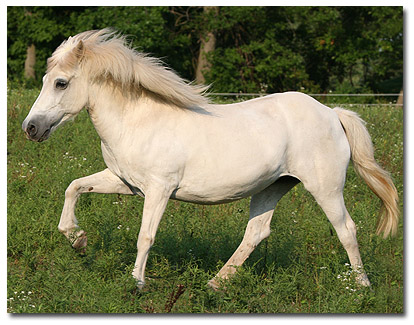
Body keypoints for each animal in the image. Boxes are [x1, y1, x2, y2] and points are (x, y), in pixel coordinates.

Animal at [21, 29, 398, 288]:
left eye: (60, 83)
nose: (31, 128)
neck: (138, 121)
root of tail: (332, 113)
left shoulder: (159, 190)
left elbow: (146, 236)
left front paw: (137, 283)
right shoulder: (124, 182)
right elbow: (73, 188)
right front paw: (78, 239)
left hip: (325, 188)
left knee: (346, 230)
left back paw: (361, 287)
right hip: (273, 186)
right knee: (256, 233)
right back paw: (215, 284)